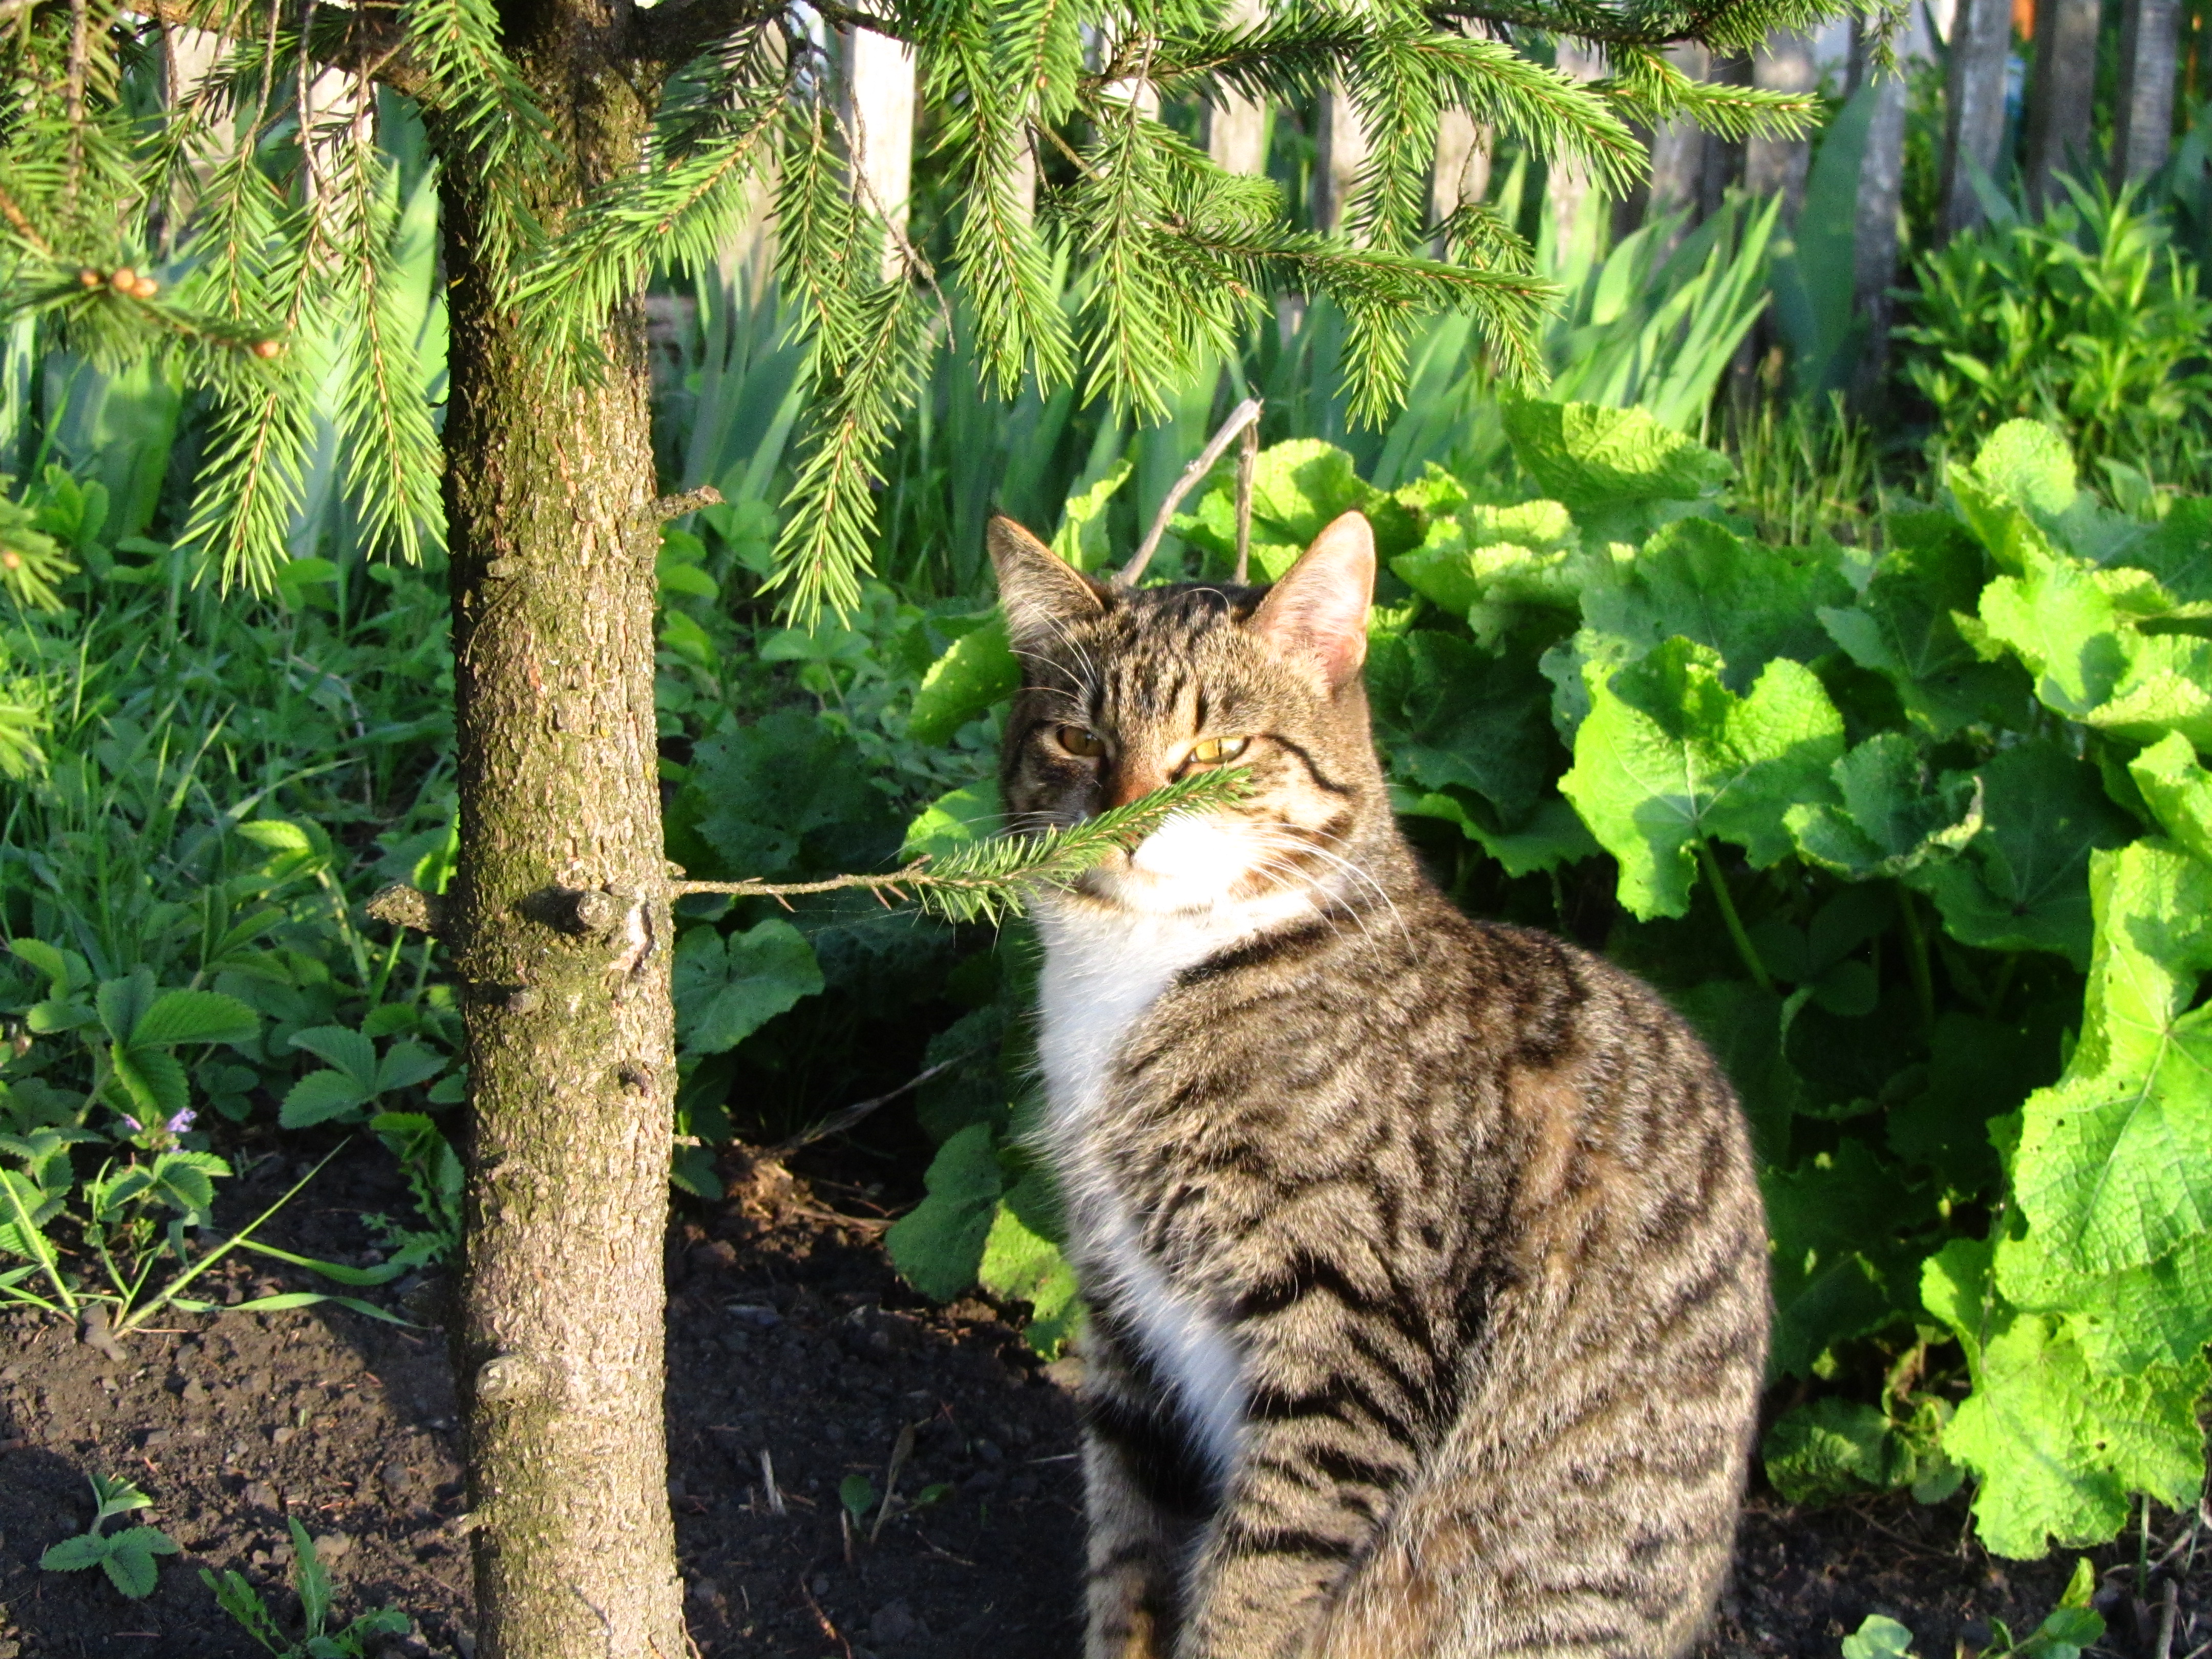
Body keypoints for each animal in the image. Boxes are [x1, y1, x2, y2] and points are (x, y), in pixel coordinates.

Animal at [995, 513, 1770, 1654]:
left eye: (1218, 753)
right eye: (1080, 743)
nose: (1125, 820)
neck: (1142, 968)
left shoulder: (1352, 1331)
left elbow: (1255, 1586)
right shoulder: (1123, 1316)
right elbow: (1126, 1556)